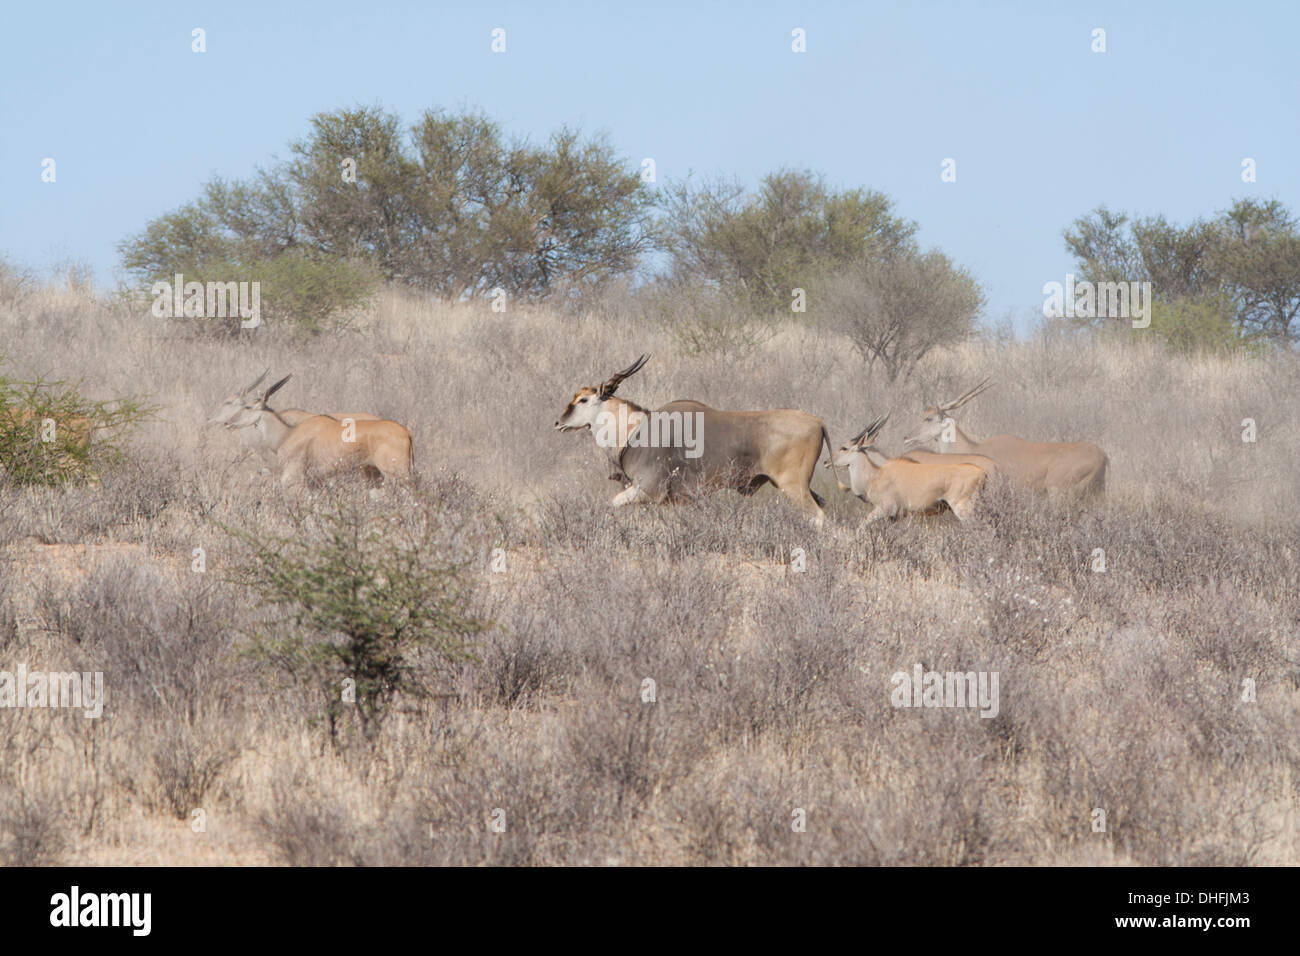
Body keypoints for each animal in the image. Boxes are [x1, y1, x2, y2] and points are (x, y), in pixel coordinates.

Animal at [553, 356, 837, 528]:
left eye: (583, 400)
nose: (558, 422)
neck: (636, 430)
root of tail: (817, 422)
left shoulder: (646, 490)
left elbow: (612, 505)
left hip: (793, 486)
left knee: (818, 516)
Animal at [832, 413, 982, 522]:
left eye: (844, 448)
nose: (828, 461)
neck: (876, 474)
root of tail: (980, 473)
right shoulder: (896, 517)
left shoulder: (884, 509)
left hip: (963, 510)